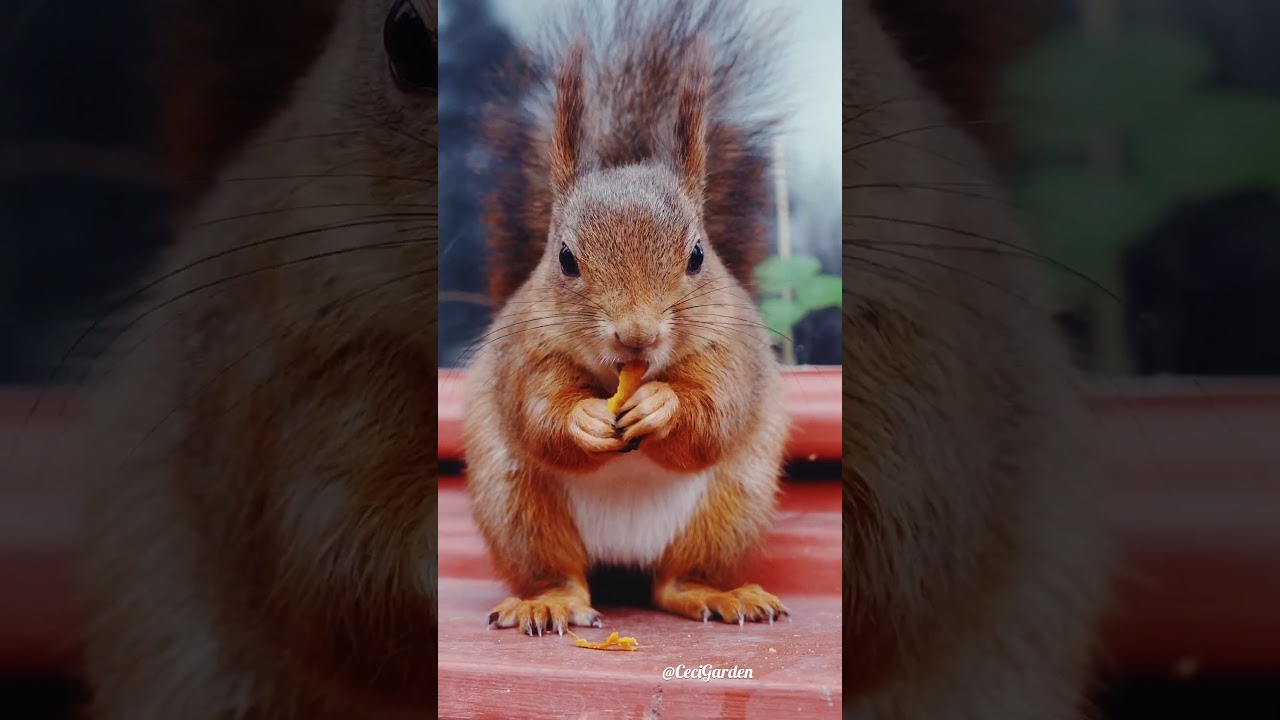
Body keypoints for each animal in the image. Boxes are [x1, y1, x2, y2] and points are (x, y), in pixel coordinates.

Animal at [461, 0, 793, 634]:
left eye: (697, 255)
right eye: (565, 259)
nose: (637, 335)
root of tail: (623, 557)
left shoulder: (730, 352)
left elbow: (716, 413)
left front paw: (663, 404)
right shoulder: (525, 354)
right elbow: (538, 413)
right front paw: (583, 419)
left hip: (730, 508)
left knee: (675, 582)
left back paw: (719, 594)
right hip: (518, 506)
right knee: (562, 573)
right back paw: (549, 601)